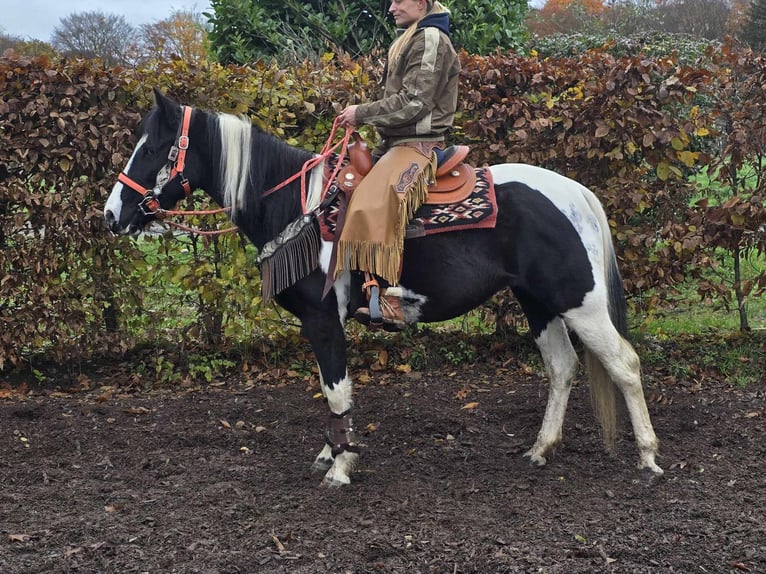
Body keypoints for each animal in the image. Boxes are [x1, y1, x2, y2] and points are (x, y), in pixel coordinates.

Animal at [105, 90, 664, 486]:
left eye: (152, 147)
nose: (112, 215)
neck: (298, 207)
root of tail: (576, 192)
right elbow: (329, 390)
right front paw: (331, 452)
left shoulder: (323, 320)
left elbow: (336, 390)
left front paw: (340, 466)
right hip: (538, 302)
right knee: (563, 367)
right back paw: (540, 449)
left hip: (580, 302)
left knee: (625, 364)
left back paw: (648, 457)